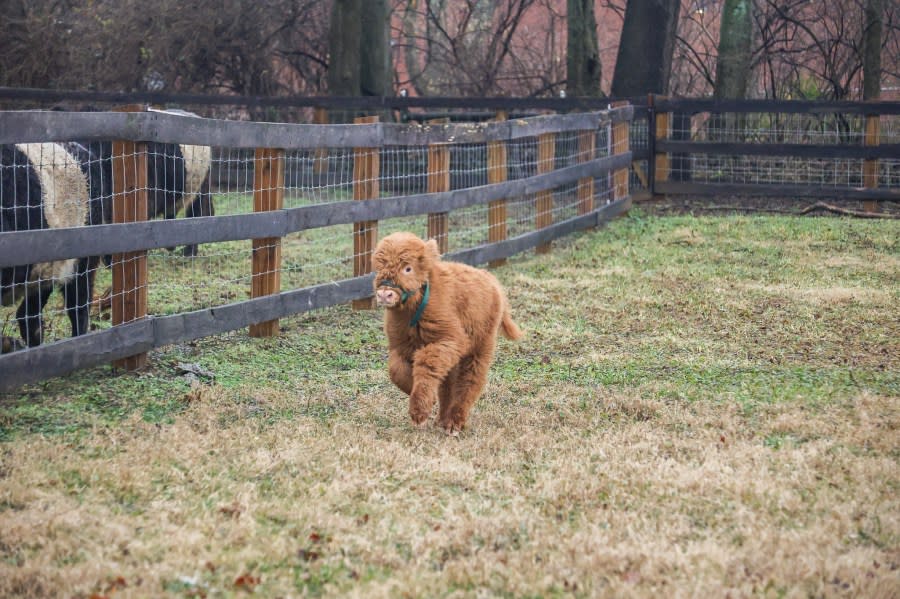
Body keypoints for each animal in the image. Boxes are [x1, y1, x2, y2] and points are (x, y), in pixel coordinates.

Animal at [370, 232, 520, 434]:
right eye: (379, 267)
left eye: (408, 268)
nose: (385, 294)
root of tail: (490, 278)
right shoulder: (399, 346)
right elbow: (396, 371)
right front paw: (424, 400)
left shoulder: (450, 340)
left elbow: (427, 363)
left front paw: (419, 410)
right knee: (448, 383)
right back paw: (442, 420)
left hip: (481, 345)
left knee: (470, 381)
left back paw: (454, 424)